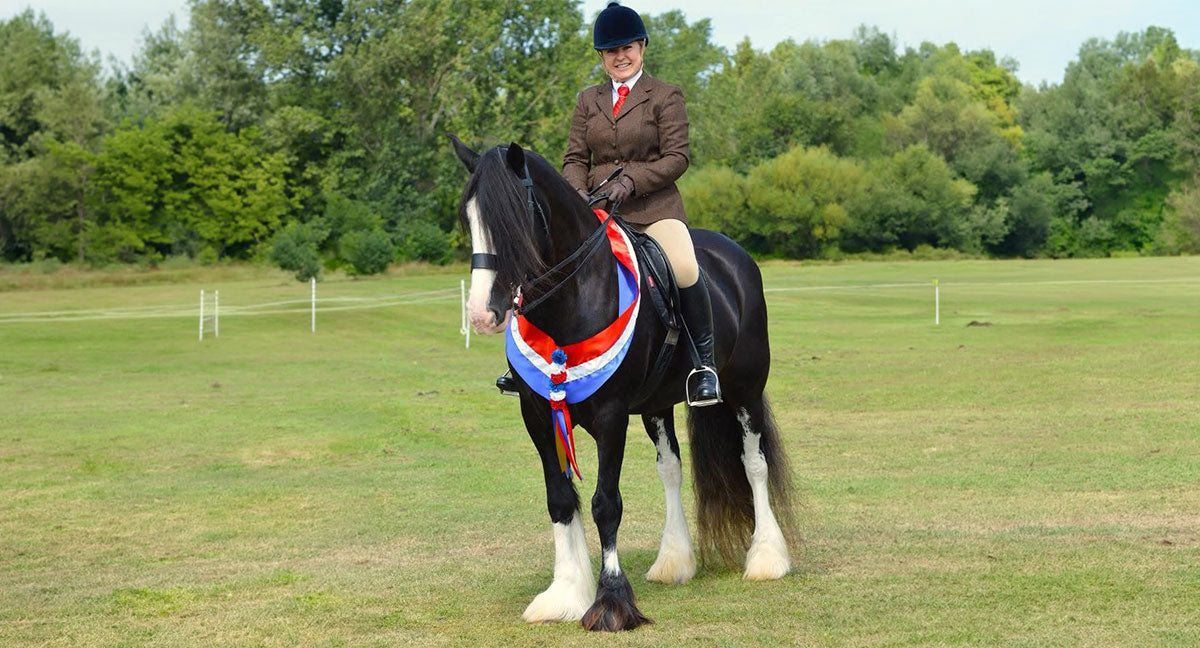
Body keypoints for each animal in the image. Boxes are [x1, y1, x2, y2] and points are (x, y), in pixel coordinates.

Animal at [450, 136, 795, 632]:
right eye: (469, 217)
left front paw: (611, 602)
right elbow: (560, 499)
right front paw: (565, 592)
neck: (572, 301)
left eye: (515, 217)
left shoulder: (611, 417)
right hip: (656, 405)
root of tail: (733, 254)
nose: (481, 314)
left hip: (744, 388)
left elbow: (605, 503)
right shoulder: (538, 413)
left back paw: (767, 558)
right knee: (671, 469)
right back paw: (674, 561)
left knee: (754, 463)